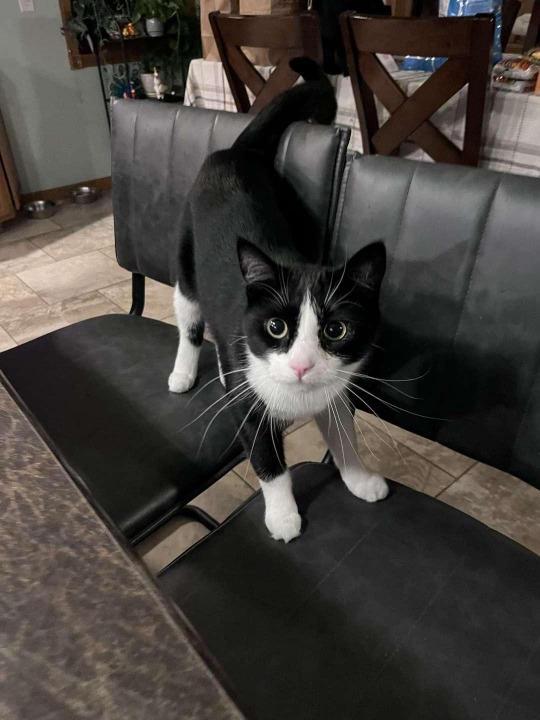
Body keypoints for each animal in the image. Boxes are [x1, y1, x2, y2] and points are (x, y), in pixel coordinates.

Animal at [170, 57, 388, 542]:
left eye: (336, 329)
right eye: (276, 327)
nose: (303, 365)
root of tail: (237, 153)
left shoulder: (334, 390)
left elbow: (344, 434)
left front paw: (360, 479)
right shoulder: (249, 405)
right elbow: (266, 458)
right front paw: (283, 515)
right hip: (186, 251)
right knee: (191, 317)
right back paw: (185, 372)